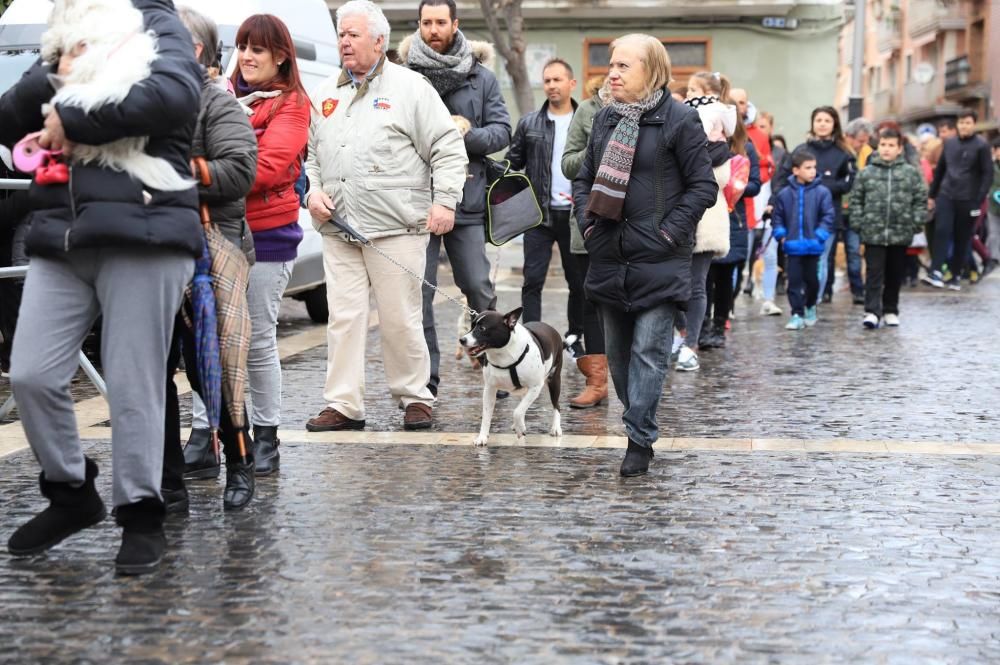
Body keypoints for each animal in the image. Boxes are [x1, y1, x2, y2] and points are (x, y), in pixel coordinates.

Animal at [460, 308, 564, 446]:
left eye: (482, 328)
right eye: (471, 327)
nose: (461, 340)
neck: (503, 354)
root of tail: (550, 328)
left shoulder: (536, 387)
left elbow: (517, 411)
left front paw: (520, 429)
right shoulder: (489, 389)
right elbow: (487, 415)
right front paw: (482, 437)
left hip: (554, 380)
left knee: (556, 405)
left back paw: (555, 428)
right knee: (523, 402)